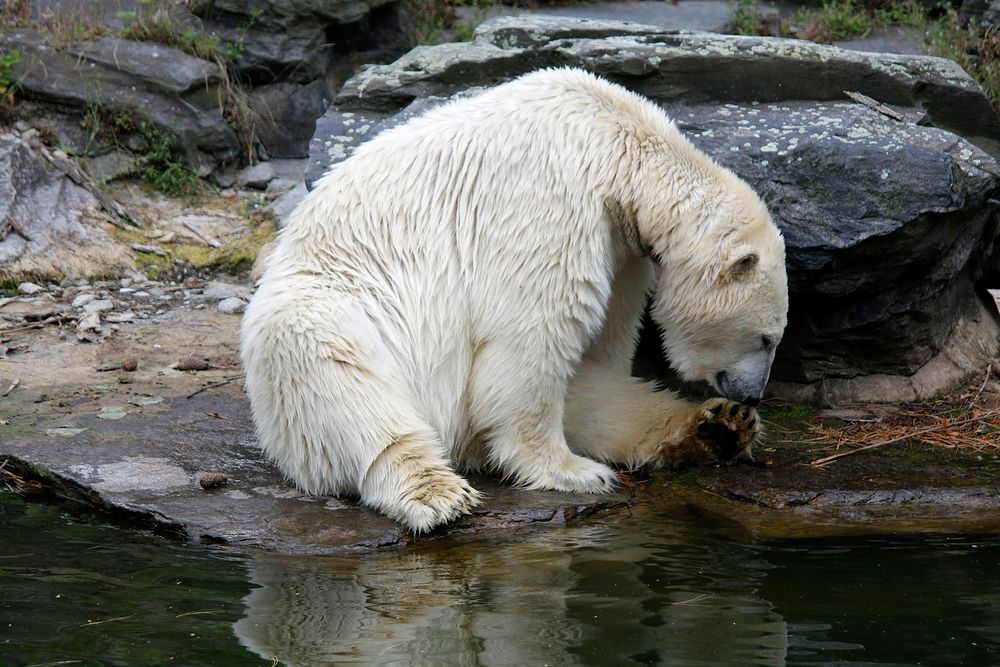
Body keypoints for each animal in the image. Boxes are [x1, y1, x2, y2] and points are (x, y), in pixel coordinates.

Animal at [242, 68, 788, 536]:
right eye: (766, 338)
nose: (754, 394)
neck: (617, 146)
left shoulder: (620, 252)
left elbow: (591, 364)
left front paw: (714, 425)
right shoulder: (551, 208)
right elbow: (532, 340)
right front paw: (568, 471)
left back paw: (715, 428)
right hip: (326, 304)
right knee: (337, 373)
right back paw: (436, 493)